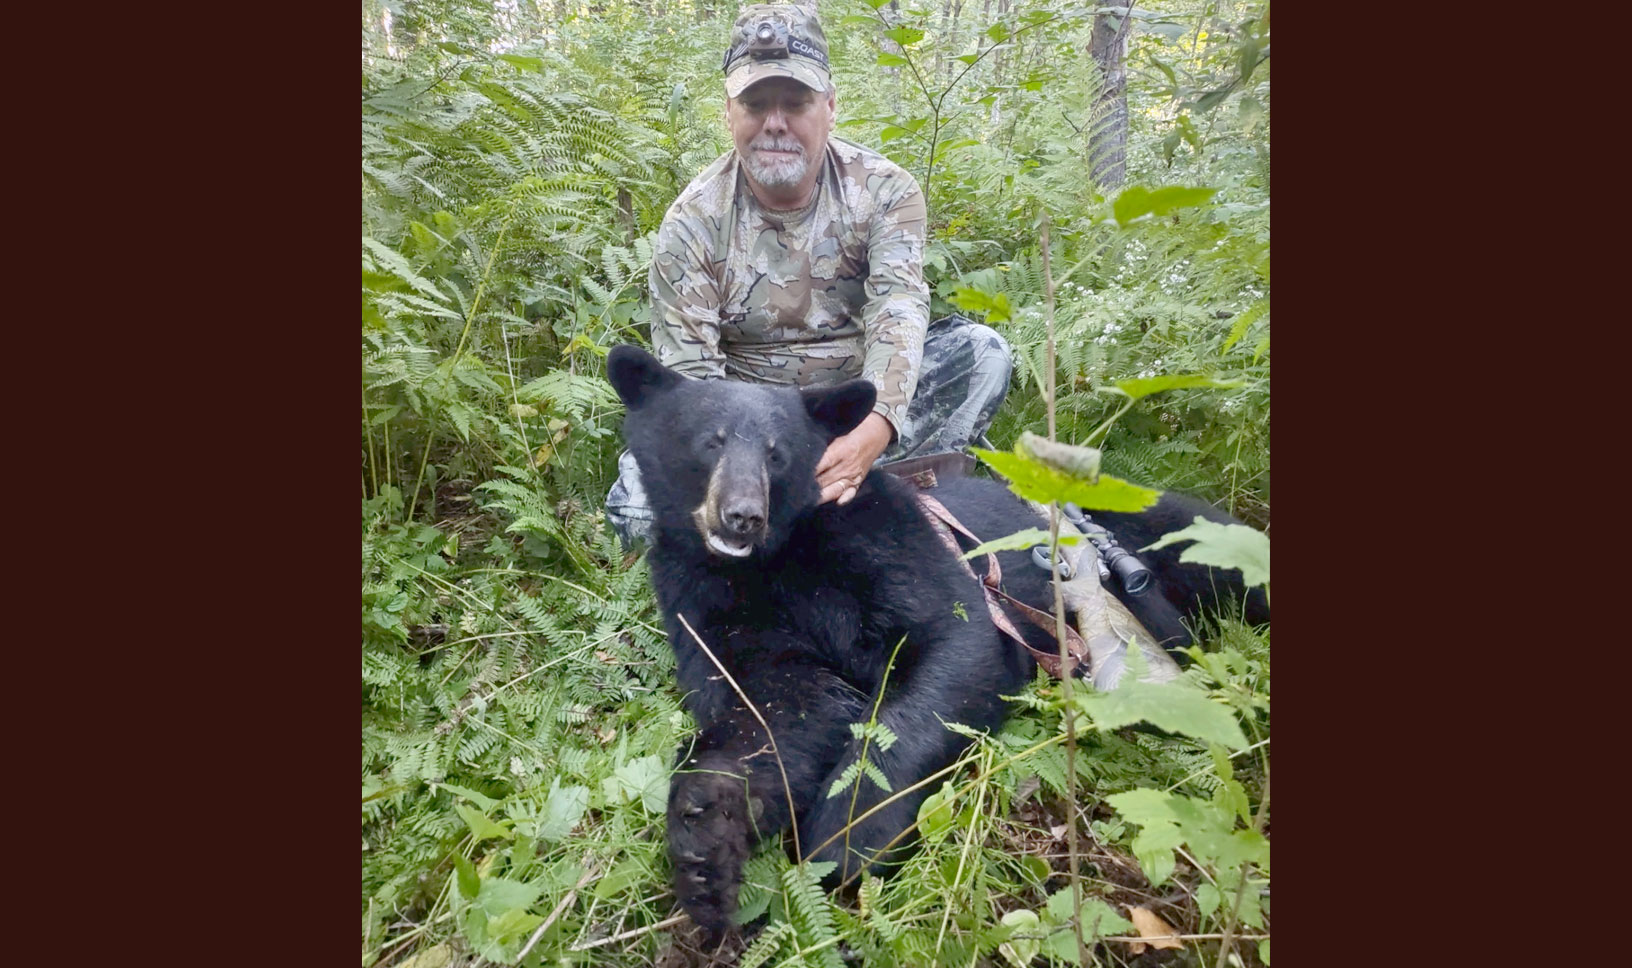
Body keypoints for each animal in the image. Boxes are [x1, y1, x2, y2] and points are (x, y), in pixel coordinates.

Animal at [605, 344, 1266, 940]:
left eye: (777, 453)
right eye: (709, 441)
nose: (743, 516)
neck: (774, 562)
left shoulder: (889, 541)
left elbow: (954, 646)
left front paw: (846, 838)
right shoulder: (708, 600)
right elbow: (776, 705)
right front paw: (704, 841)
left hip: (1175, 533)